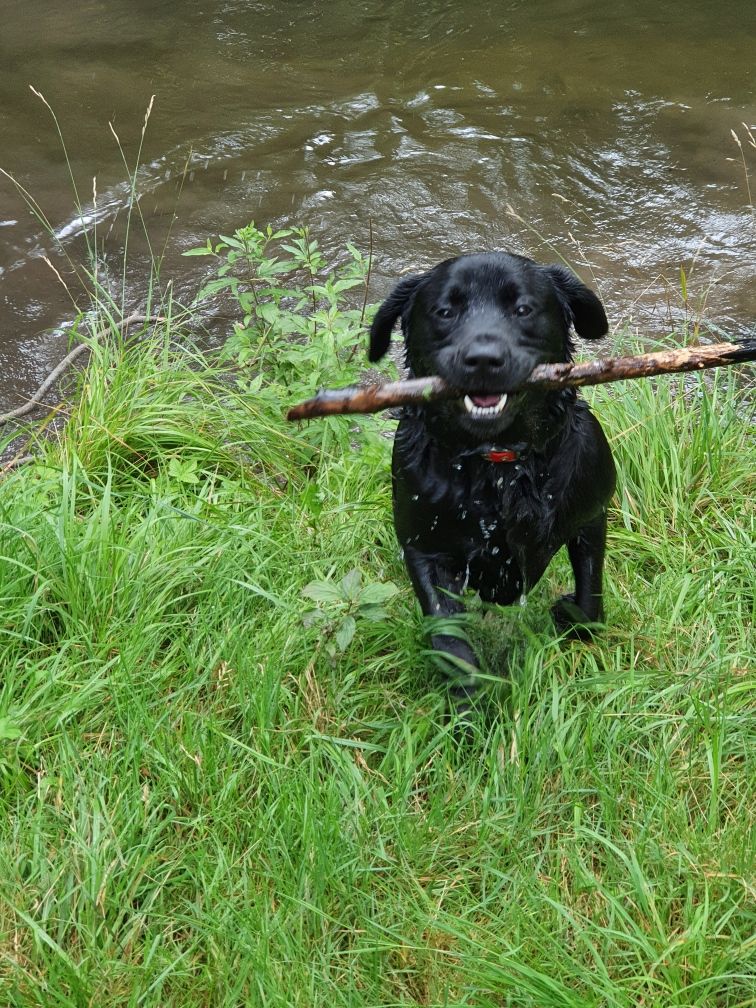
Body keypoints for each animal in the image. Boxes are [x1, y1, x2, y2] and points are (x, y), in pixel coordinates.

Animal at [370, 252, 616, 709]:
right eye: (444, 312)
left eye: (522, 309)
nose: (483, 359)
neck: (497, 463)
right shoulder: (424, 549)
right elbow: (451, 641)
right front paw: (469, 708)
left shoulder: (591, 515)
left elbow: (589, 602)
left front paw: (569, 616)